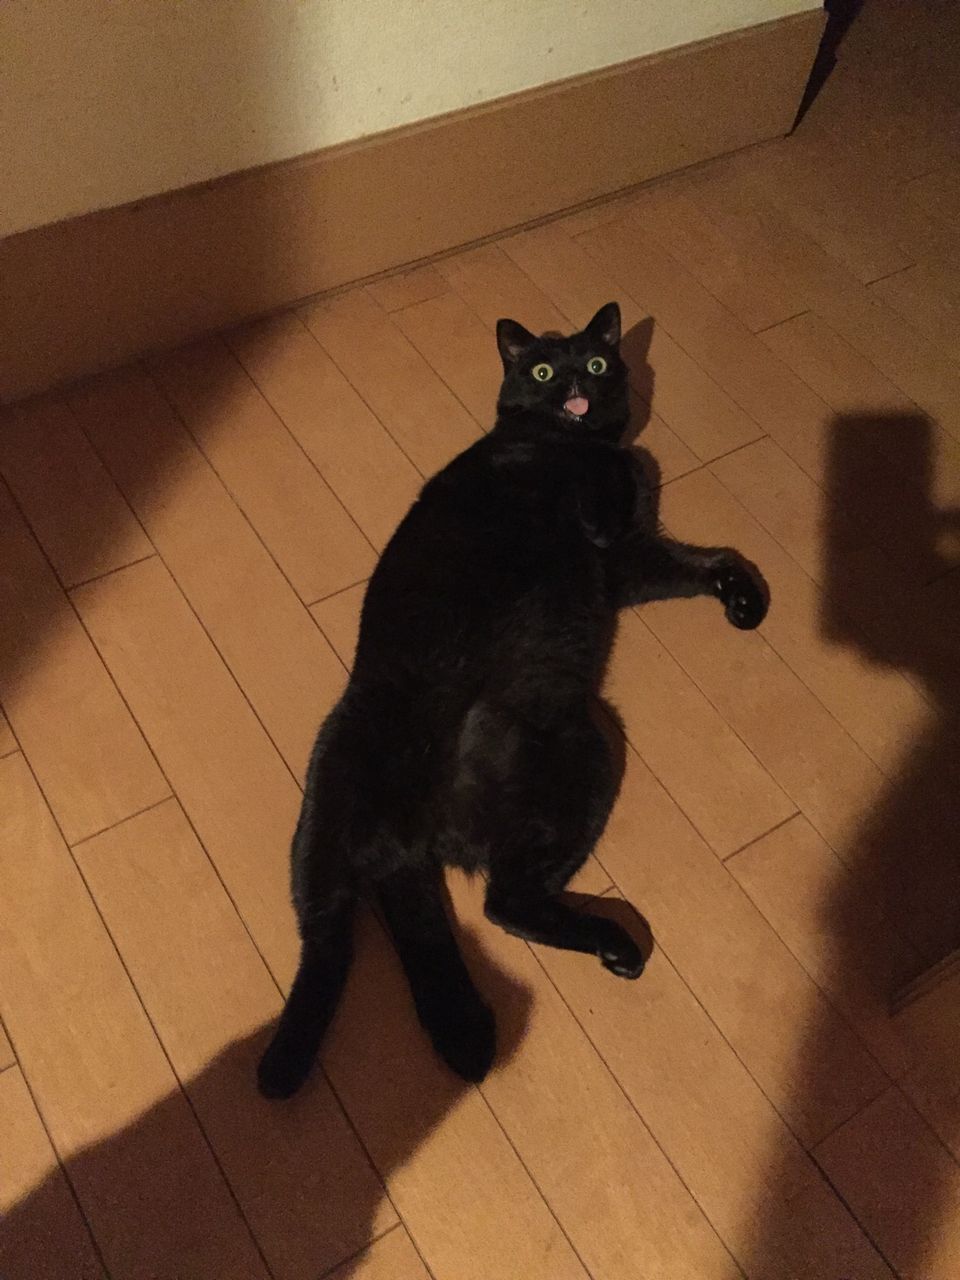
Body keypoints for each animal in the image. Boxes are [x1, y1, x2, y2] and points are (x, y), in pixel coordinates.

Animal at [257, 301, 768, 1099]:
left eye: (595, 362)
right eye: (542, 368)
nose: (574, 389)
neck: (572, 440)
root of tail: (428, 834)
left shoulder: (626, 562)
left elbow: (706, 560)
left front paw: (746, 601)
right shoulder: (602, 522)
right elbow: (619, 496)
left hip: (554, 770)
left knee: (460, 915)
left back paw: (467, 1032)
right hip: (345, 820)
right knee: (363, 938)